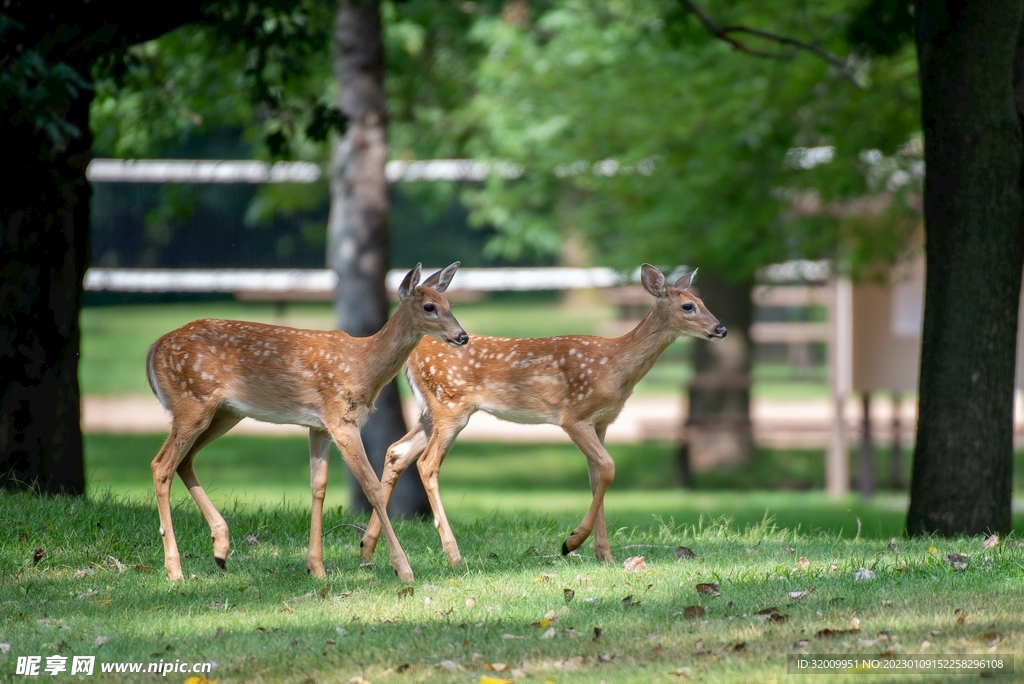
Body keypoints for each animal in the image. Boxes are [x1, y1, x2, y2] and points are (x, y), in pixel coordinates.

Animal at [145, 262, 467, 583]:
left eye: (448, 305)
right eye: (429, 307)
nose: (462, 336)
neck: (363, 365)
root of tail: (152, 350)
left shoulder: (319, 425)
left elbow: (318, 486)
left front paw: (316, 568)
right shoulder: (341, 419)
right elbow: (372, 487)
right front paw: (403, 569)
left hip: (225, 413)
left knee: (184, 462)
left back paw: (220, 549)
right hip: (192, 403)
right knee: (161, 465)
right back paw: (175, 570)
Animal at [359, 263, 726, 567]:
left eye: (702, 300)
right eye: (688, 306)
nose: (721, 328)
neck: (615, 365)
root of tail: (413, 354)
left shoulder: (602, 422)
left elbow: (597, 478)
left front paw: (604, 554)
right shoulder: (574, 416)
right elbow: (609, 468)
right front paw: (571, 542)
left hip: (429, 411)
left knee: (397, 451)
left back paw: (368, 547)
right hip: (451, 406)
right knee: (426, 463)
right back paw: (453, 554)